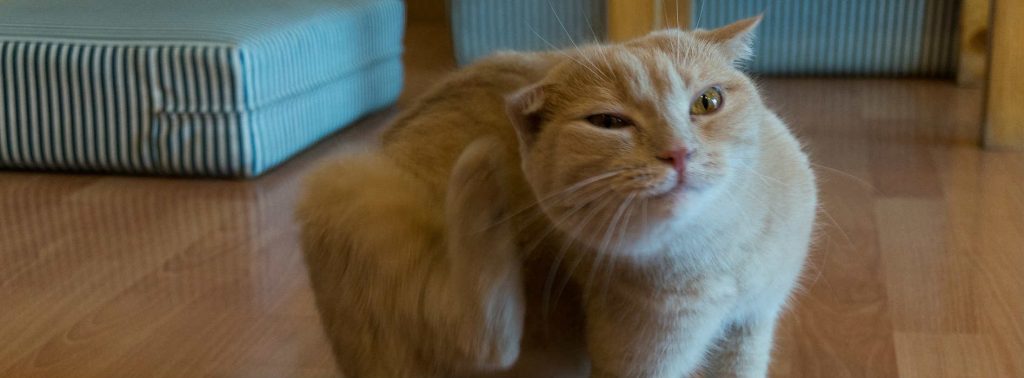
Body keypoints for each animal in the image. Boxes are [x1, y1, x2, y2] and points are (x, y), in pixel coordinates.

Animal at [296, 15, 815, 376]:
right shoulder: (640, 359)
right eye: (608, 122)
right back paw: (480, 175)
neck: (718, 258)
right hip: (343, 182)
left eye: (708, 102)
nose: (678, 152)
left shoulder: (750, 326)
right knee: (484, 338)